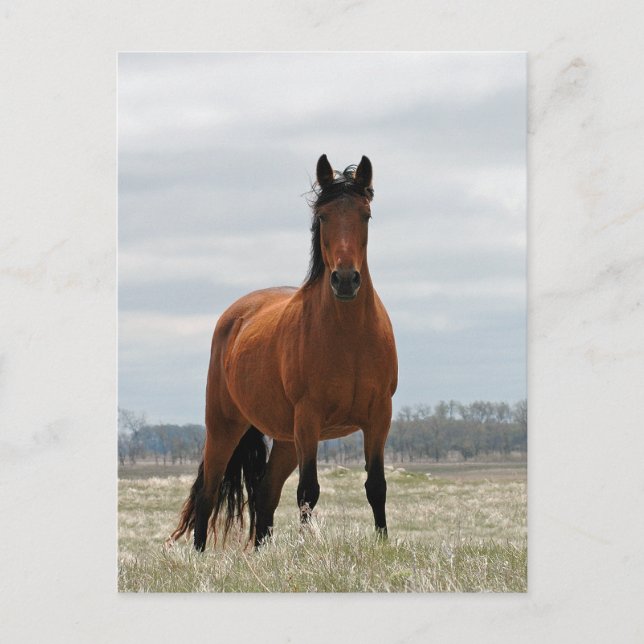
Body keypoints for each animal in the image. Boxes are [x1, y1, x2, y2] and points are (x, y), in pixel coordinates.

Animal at [169, 154, 398, 550]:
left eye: (365, 215)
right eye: (323, 217)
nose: (345, 280)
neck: (350, 338)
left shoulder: (378, 417)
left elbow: (376, 487)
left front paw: (382, 545)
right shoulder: (309, 418)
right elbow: (308, 491)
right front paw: (306, 552)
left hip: (286, 439)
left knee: (265, 493)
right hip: (225, 426)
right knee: (208, 493)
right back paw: (198, 556)